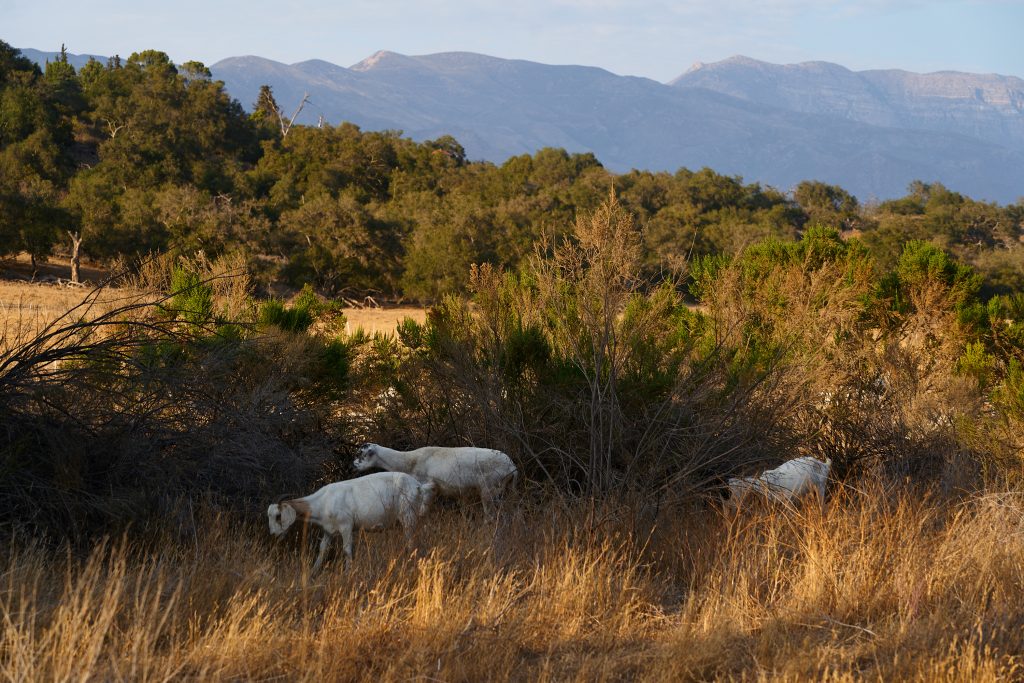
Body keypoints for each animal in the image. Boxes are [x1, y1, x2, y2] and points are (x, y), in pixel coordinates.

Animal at [267, 471, 436, 574]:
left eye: (278, 516)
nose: (273, 535)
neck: (323, 501)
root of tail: (419, 486)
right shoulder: (328, 531)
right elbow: (322, 550)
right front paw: (313, 571)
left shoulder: (346, 526)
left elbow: (347, 550)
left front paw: (348, 573)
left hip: (408, 516)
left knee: (410, 540)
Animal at [353, 443, 517, 514]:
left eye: (361, 453)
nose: (353, 464)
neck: (408, 461)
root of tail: (512, 466)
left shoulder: (427, 487)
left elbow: (423, 511)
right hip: (506, 489)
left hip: (490, 488)